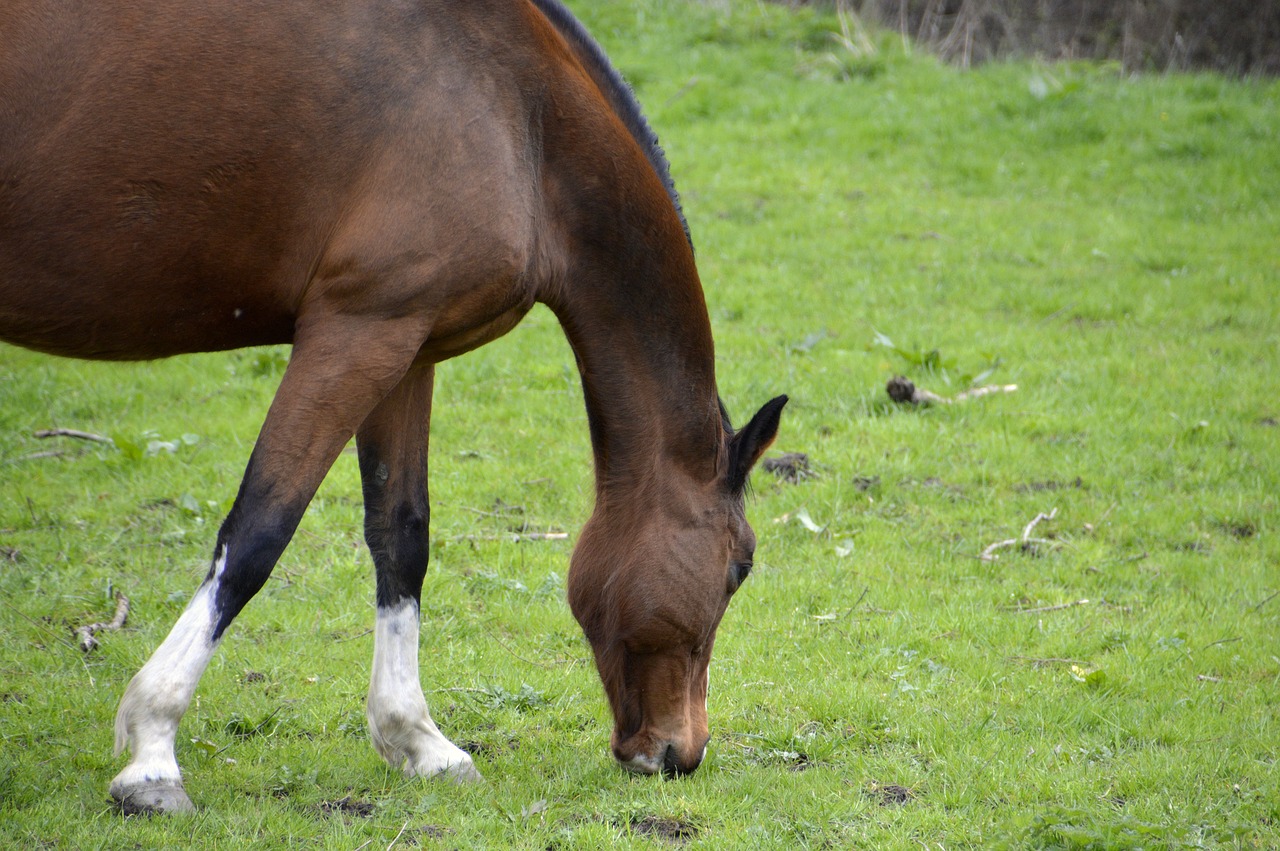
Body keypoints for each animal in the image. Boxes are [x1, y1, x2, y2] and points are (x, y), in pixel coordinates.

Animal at [0, 0, 783, 813]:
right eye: (740, 567)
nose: (679, 752)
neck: (522, 115)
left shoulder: (407, 341)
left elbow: (401, 533)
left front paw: (417, 738)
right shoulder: (356, 330)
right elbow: (257, 532)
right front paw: (154, 751)